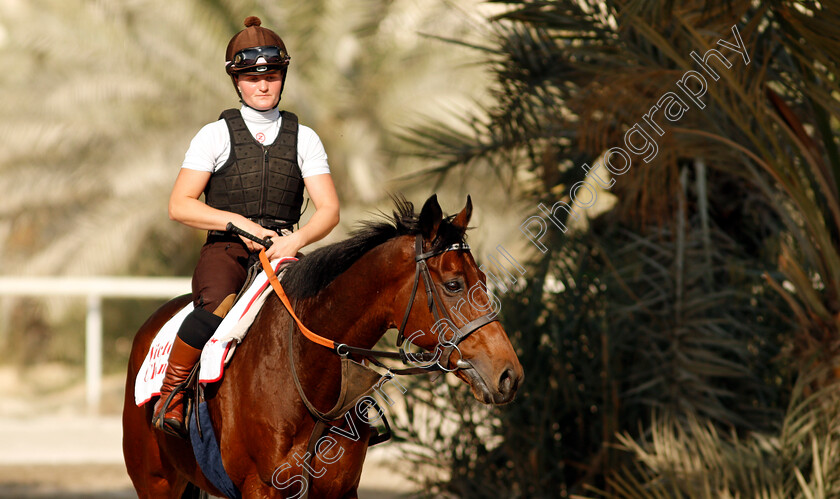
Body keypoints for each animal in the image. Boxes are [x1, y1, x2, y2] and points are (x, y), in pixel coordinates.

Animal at [121, 195, 520, 496]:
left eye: (483, 279)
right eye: (454, 284)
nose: (509, 375)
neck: (305, 374)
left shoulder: (340, 490)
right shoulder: (260, 489)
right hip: (156, 483)